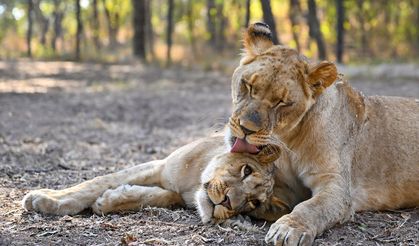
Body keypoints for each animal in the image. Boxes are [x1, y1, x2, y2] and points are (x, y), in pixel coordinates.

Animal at [23, 135, 312, 226]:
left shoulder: (175, 190)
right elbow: (97, 181)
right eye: (246, 170)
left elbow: (160, 197)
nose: (228, 203)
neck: (194, 182)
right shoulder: (160, 165)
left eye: (253, 204)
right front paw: (46, 199)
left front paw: (109, 201)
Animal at [226, 22, 419, 245]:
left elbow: (311, 207)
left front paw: (287, 229)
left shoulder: (336, 186)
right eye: (248, 85)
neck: (289, 142)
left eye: (282, 102)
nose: (246, 128)